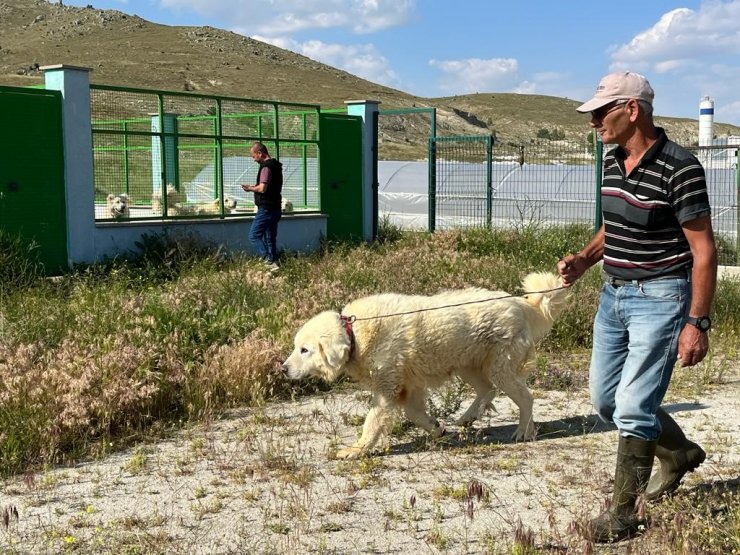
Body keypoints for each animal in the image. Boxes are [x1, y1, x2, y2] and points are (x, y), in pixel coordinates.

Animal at [280, 272, 568, 460]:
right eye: (296, 347)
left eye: (304, 350)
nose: (282, 369)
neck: (356, 335)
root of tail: (519, 303)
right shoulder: (409, 388)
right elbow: (415, 414)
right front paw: (437, 428)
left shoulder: (387, 391)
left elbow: (372, 423)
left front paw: (357, 449)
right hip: (469, 365)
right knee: (487, 390)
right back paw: (468, 417)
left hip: (499, 368)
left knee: (525, 397)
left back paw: (522, 432)